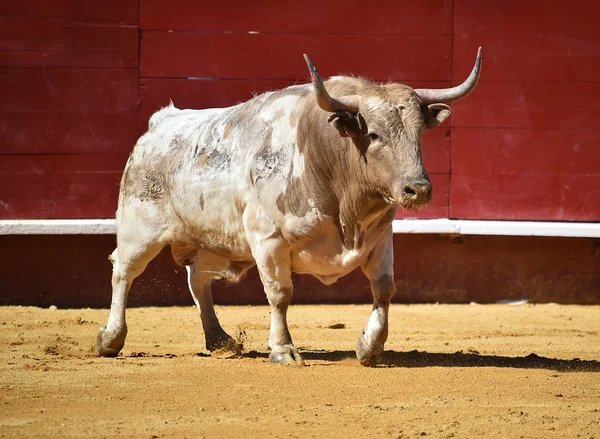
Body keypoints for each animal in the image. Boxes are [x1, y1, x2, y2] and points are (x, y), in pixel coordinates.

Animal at [98, 48, 482, 366]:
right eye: (373, 135)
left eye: (419, 133)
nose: (418, 189)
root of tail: (159, 125)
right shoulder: (268, 239)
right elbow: (280, 294)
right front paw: (283, 349)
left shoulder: (379, 237)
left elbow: (384, 289)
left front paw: (369, 346)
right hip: (138, 229)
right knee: (124, 272)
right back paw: (110, 339)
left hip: (213, 240)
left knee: (197, 281)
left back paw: (219, 339)